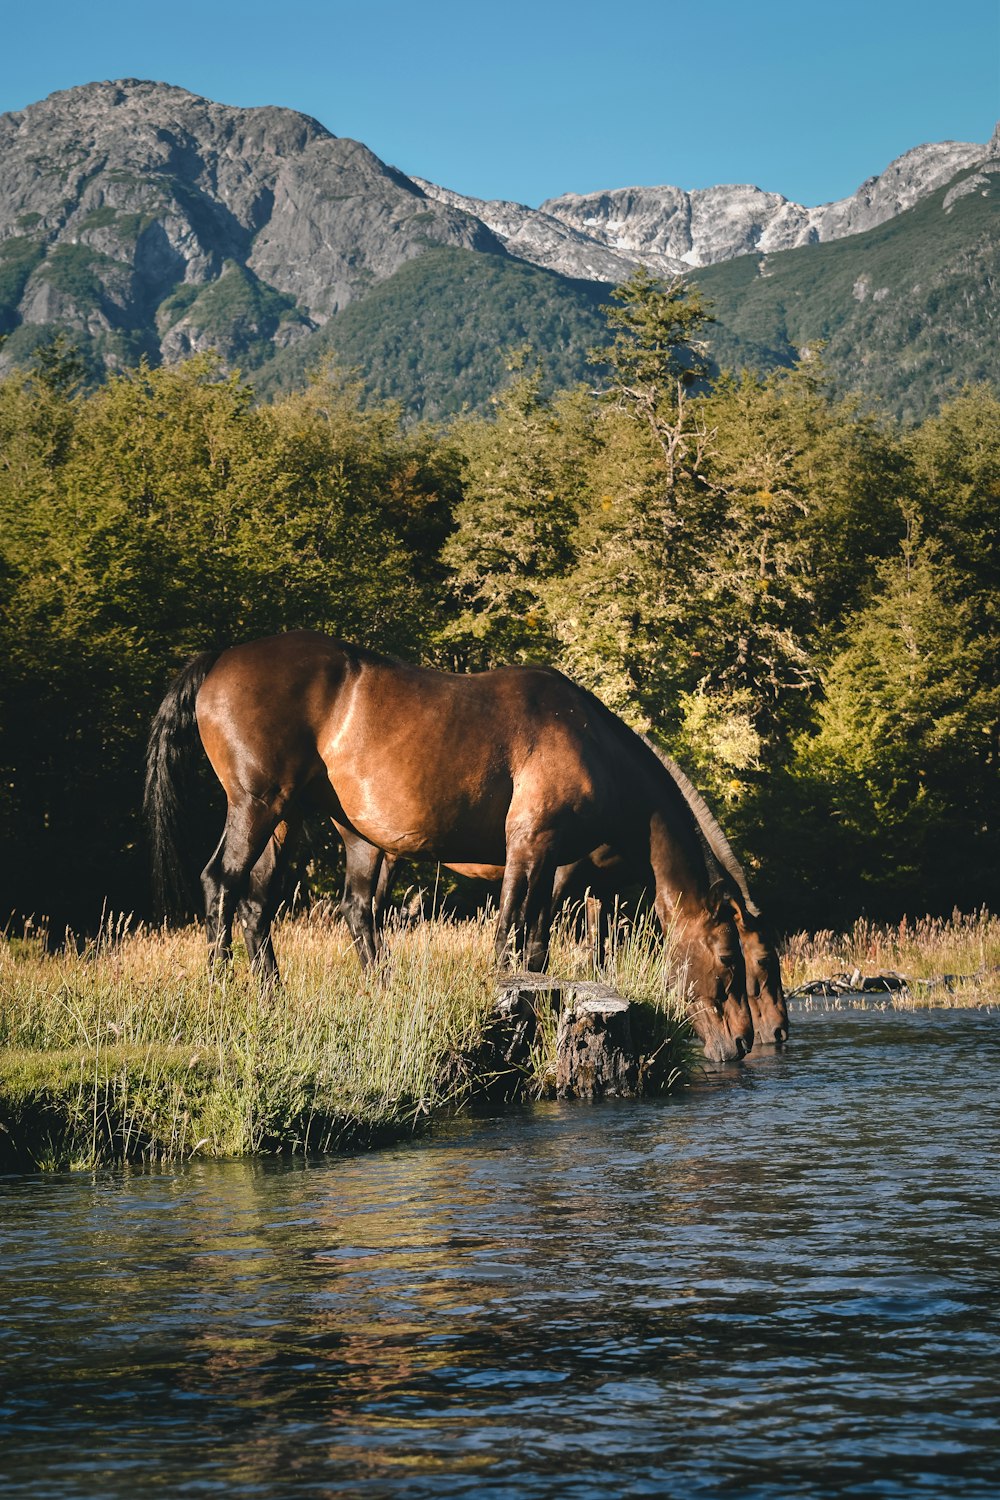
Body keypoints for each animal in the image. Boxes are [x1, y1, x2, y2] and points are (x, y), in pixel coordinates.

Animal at [140, 633, 749, 1068]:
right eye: (728, 957)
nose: (743, 1041)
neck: (587, 739)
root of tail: (223, 657)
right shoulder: (529, 843)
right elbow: (507, 935)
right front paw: (504, 1010)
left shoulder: (551, 861)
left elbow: (535, 946)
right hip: (257, 804)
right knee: (222, 882)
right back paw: (222, 996)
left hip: (294, 822)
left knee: (268, 904)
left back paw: (280, 1001)